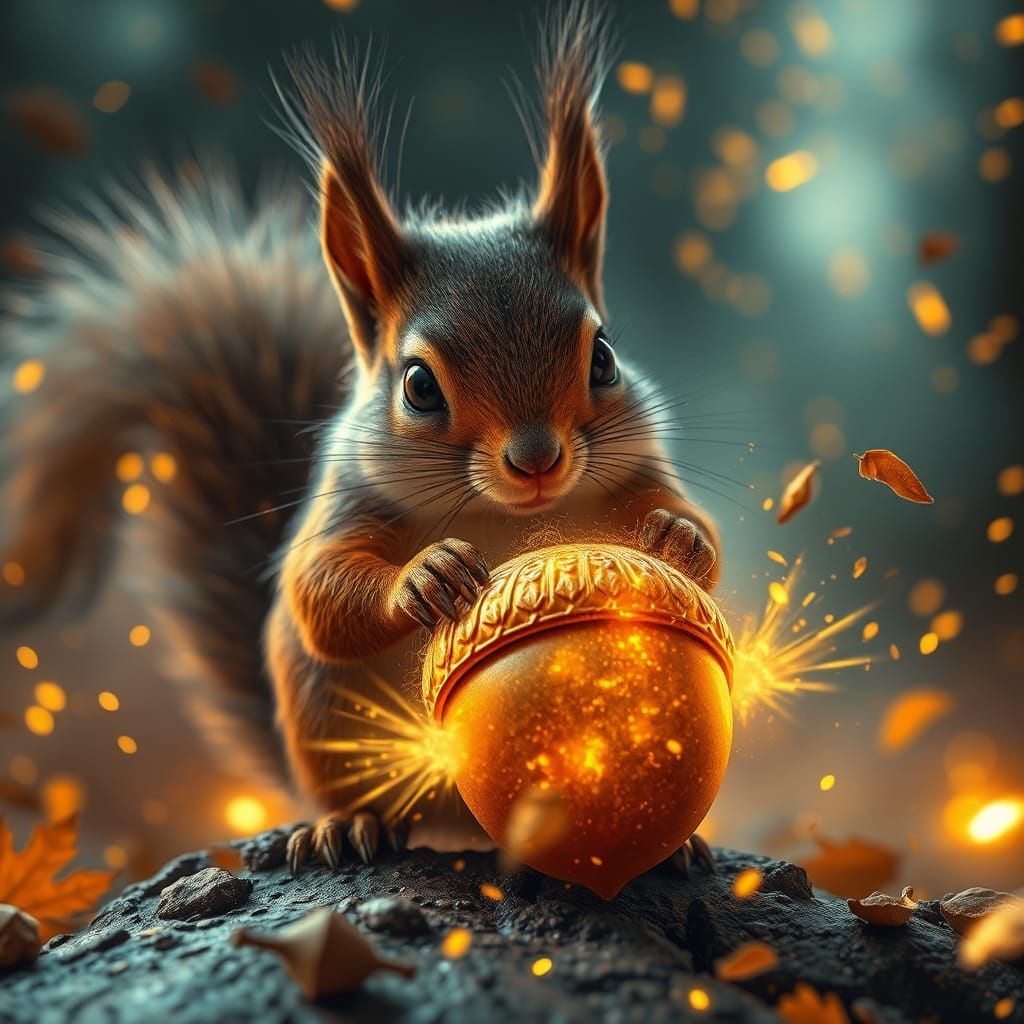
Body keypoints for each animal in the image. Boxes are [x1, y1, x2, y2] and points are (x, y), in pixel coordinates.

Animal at [0, 2, 718, 874]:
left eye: (604, 356)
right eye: (418, 385)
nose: (538, 460)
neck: (506, 516)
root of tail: (464, 825)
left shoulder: (639, 468)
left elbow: (698, 535)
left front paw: (677, 537)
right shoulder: (348, 499)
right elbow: (319, 589)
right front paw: (424, 578)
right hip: (327, 729)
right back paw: (348, 826)